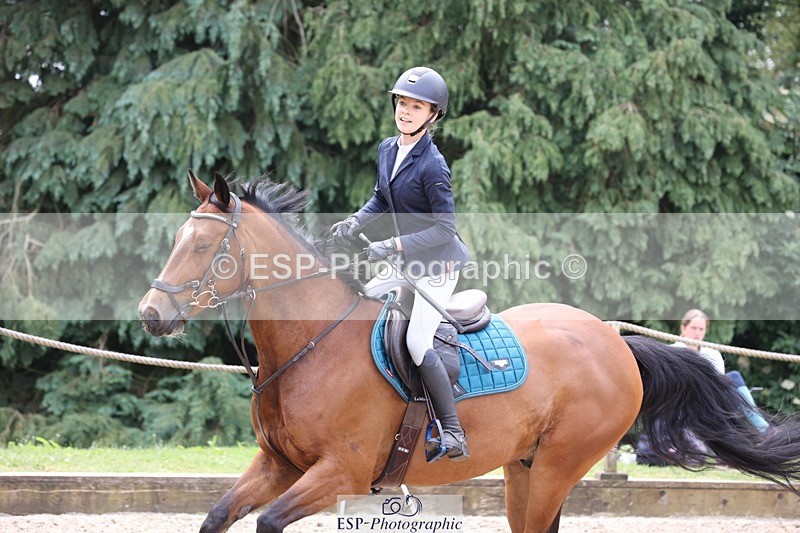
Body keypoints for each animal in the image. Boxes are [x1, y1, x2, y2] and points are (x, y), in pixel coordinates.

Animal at [138, 171, 800, 533]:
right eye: (178, 240)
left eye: (203, 247)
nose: (150, 314)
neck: (310, 345)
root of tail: (615, 341)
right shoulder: (280, 464)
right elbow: (218, 515)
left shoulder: (338, 473)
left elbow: (270, 520)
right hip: (523, 465)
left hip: (559, 464)